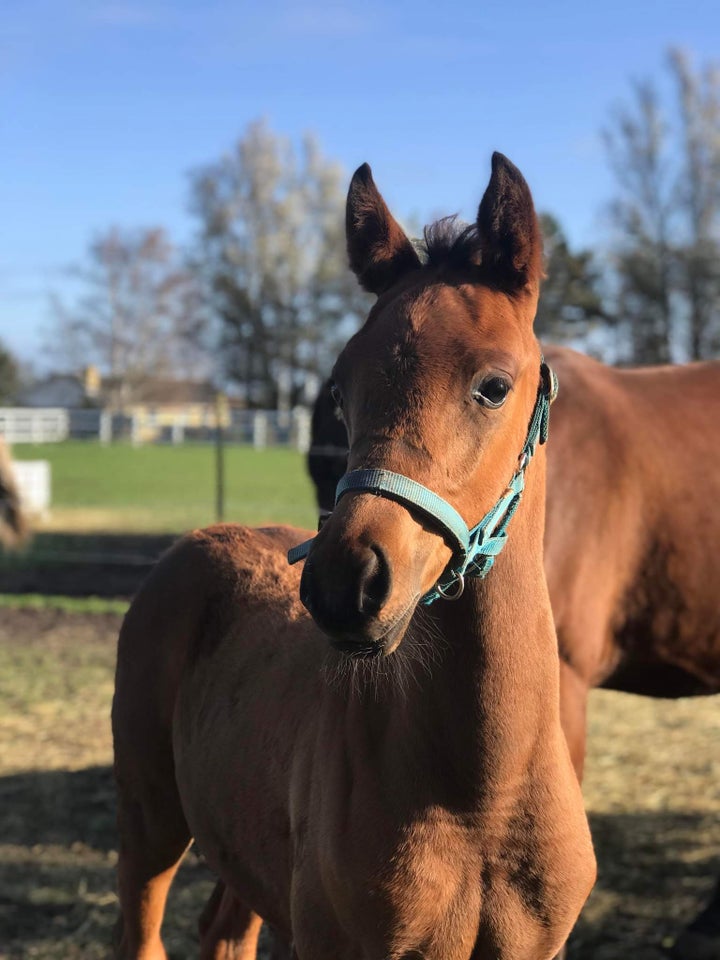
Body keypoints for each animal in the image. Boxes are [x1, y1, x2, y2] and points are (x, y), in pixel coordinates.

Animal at [114, 154, 596, 960]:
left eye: (494, 386)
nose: (346, 587)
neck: (480, 797)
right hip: (149, 819)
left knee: (224, 931)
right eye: (340, 388)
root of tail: (201, 541)